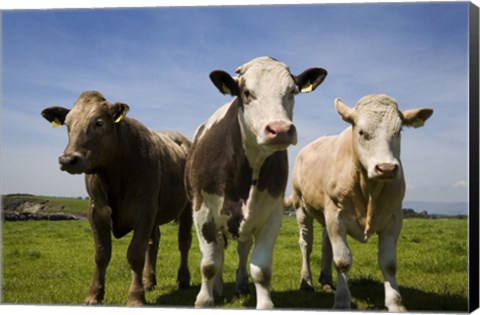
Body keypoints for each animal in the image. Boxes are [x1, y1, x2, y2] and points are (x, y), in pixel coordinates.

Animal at [40, 90, 191, 306]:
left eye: (99, 123)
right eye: (67, 124)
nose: (68, 159)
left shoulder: (145, 209)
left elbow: (135, 254)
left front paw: (135, 297)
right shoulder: (96, 211)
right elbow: (101, 254)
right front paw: (94, 295)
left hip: (186, 207)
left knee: (184, 242)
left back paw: (183, 279)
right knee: (153, 242)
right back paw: (148, 281)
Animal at [186, 56, 328, 308]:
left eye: (292, 91)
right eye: (246, 93)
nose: (280, 130)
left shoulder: (272, 214)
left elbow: (261, 269)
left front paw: (264, 304)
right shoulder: (202, 212)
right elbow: (209, 264)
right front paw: (204, 299)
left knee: (242, 249)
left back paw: (241, 284)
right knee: (219, 252)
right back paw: (218, 289)